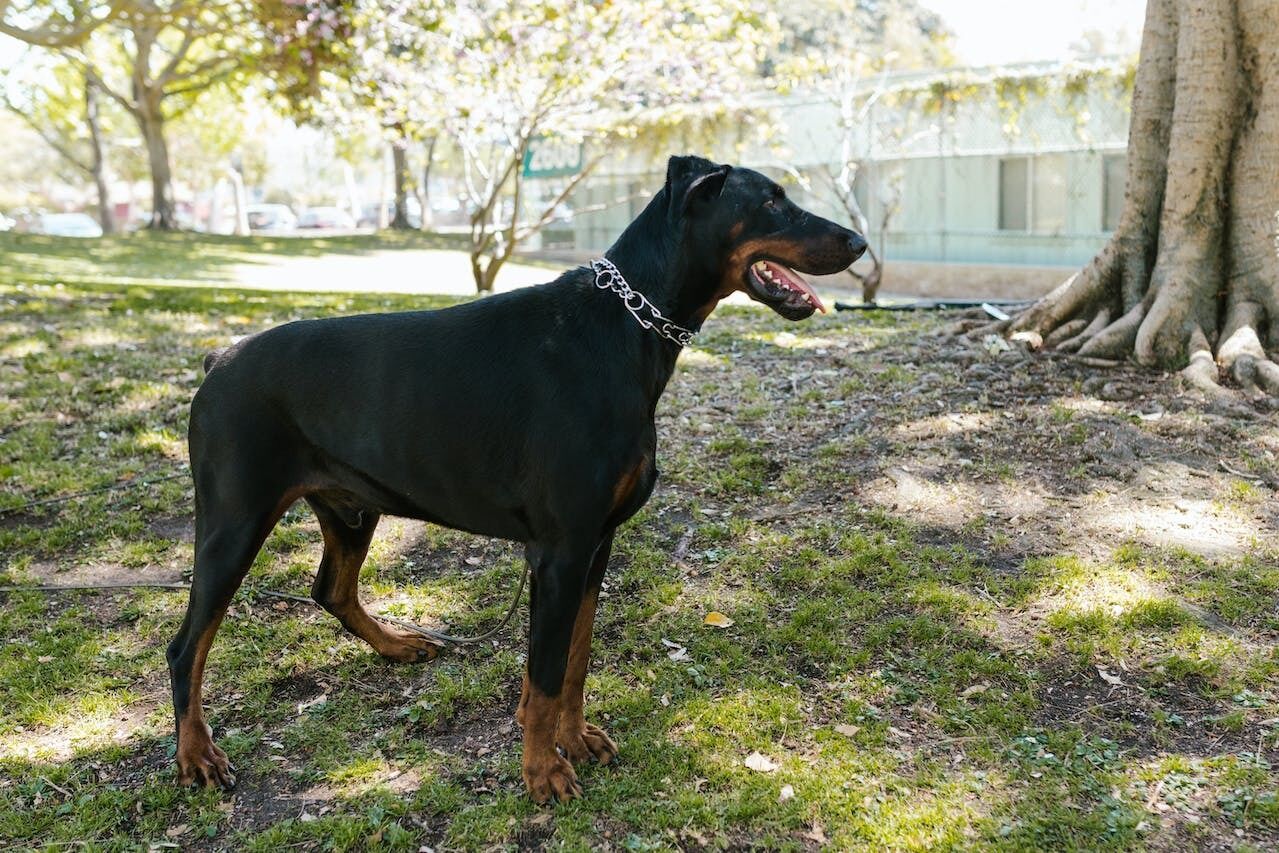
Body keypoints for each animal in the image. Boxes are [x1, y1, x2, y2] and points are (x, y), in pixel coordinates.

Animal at [170, 156, 864, 803]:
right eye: (771, 201)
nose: (858, 243)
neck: (625, 329)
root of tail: (217, 360)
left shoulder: (596, 544)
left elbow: (575, 661)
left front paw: (574, 740)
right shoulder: (559, 551)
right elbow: (547, 673)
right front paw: (543, 772)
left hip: (351, 506)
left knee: (331, 590)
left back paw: (396, 646)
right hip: (235, 521)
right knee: (187, 648)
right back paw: (197, 754)